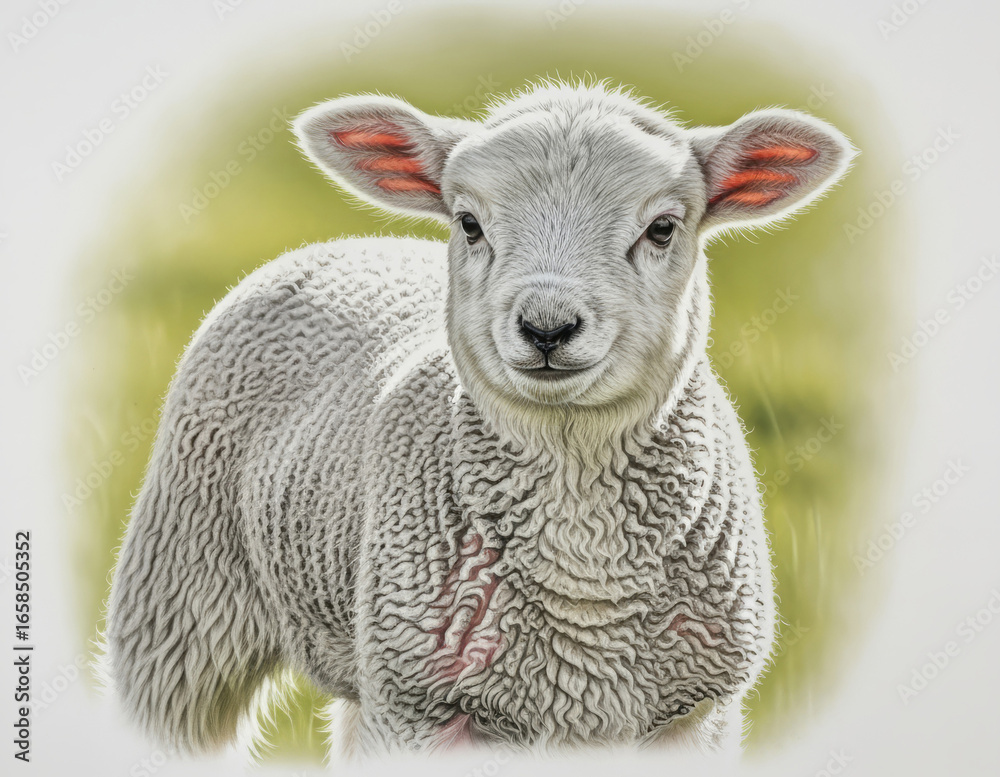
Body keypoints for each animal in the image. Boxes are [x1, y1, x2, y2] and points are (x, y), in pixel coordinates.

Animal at [103, 81, 854, 759]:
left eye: (662, 228)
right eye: (469, 223)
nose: (547, 327)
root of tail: (353, 240)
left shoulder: (693, 712)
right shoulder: (424, 708)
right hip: (182, 592)